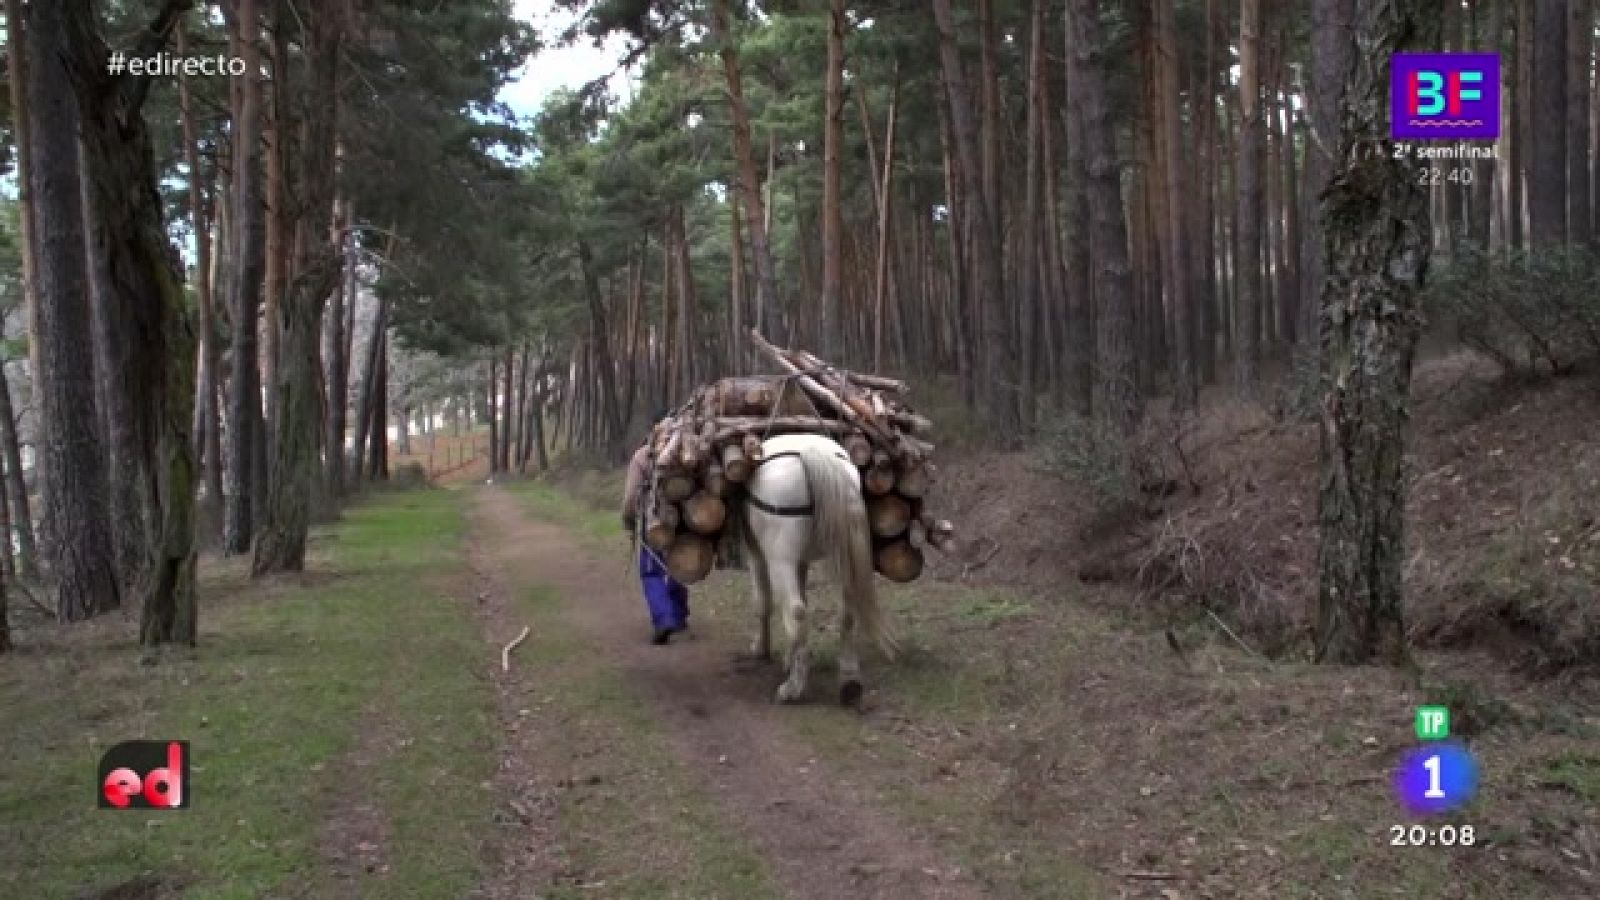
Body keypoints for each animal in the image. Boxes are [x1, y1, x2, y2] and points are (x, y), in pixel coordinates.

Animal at [739, 429, 902, 701]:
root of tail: (814, 454)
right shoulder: (801, 560)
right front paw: (789, 657)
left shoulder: (758, 556)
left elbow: (763, 604)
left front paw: (762, 649)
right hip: (838, 554)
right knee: (846, 612)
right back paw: (849, 678)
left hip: (780, 559)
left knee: (796, 613)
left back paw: (792, 688)